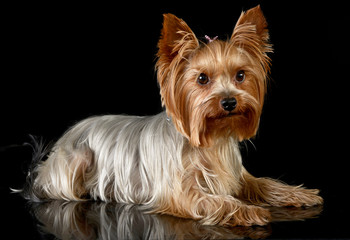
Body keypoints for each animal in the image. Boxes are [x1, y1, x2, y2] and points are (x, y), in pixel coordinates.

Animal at [19, 6, 322, 227]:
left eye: (240, 75)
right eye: (202, 78)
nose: (229, 101)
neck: (211, 140)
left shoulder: (237, 175)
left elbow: (263, 183)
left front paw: (298, 193)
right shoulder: (179, 192)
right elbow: (215, 200)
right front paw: (247, 210)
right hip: (77, 160)